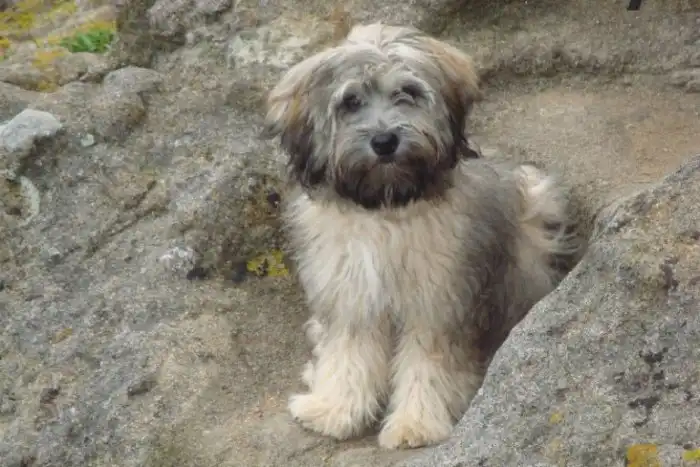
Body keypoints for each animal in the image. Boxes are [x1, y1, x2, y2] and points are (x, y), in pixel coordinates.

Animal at [262, 22, 584, 449]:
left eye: (408, 93)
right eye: (350, 102)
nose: (384, 141)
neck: (388, 209)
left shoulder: (439, 302)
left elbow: (427, 364)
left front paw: (415, 423)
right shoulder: (352, 294)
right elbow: (348, 354)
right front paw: (334, 409)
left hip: (535, 213)